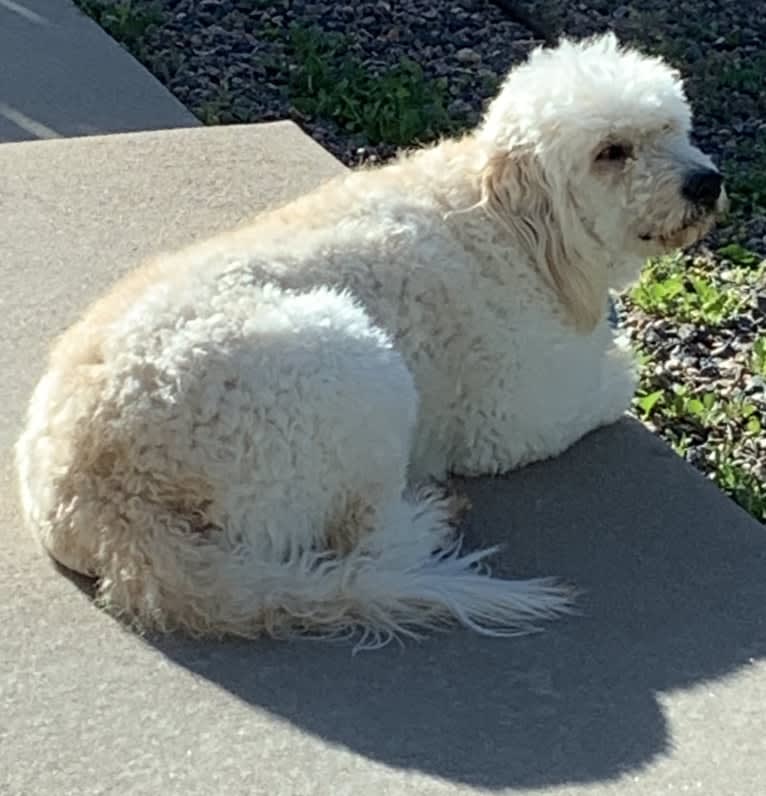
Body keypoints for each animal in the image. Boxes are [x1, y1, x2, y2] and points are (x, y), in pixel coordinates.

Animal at [16, 34, 728, 648]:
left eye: (674, 127)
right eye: (611, 152)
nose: (708, 182)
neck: (507, 220)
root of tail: (108, 505)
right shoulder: (509, 422)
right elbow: (615, 382)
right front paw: (621, 366)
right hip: (356, 366)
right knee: (367, 540)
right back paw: (429, 516)